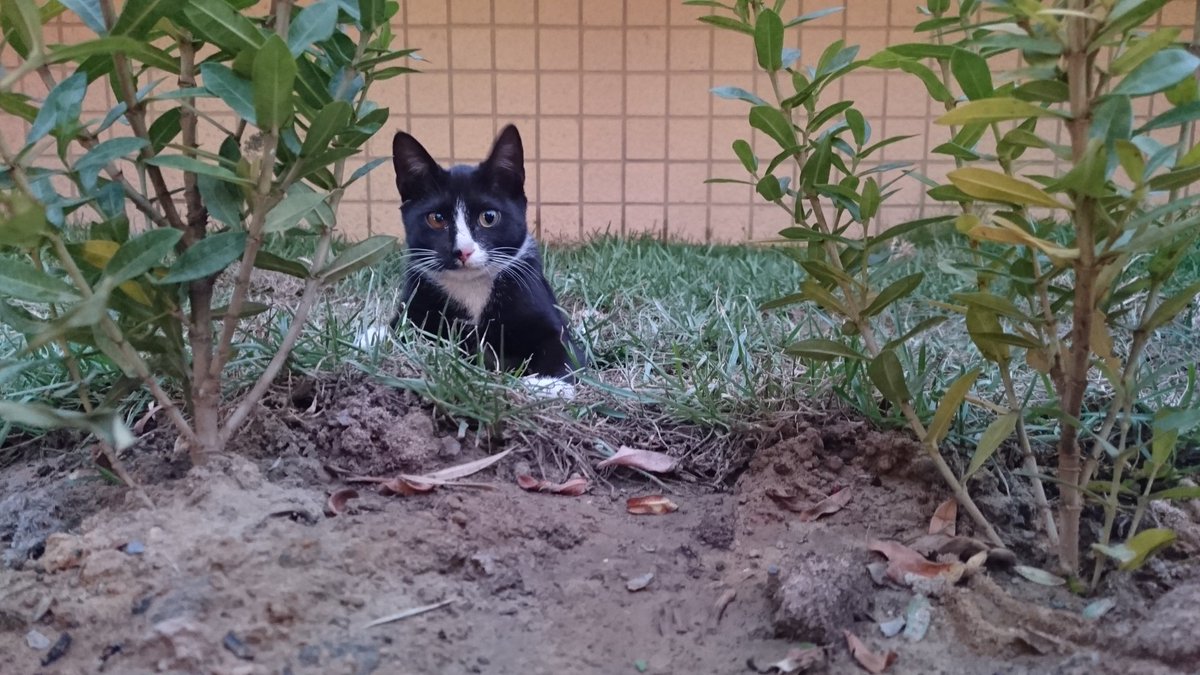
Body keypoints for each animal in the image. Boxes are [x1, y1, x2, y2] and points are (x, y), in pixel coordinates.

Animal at [390, 124, 585, 382]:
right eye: (436, 219)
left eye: (489, 217)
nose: (463, 251)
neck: (471, 288)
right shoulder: (412, 306)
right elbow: (397, 331)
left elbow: (564, 349)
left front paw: (549, 384)